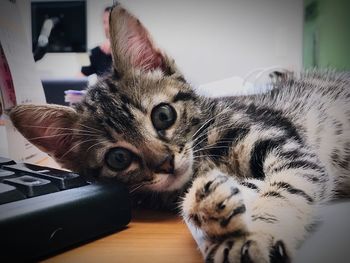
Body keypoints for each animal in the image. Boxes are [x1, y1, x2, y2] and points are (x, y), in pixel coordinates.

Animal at [8, 4, 350, 263]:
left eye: (163, 115)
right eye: (118, 159)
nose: (165, 163)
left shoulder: (289, 147)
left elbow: (287, 186)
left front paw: (257, 232)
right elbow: (237, 188)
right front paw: (210, 207)